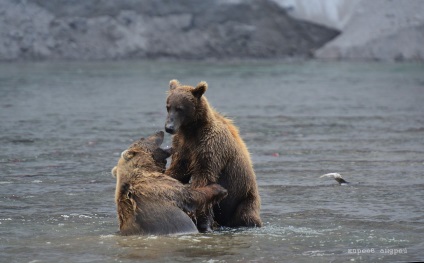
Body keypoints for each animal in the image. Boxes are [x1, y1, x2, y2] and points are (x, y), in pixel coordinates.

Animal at [165, 79, 262, 232]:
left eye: (180, 108)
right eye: (168, 107)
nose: (169, 127)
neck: (192, 130)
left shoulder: (211, 145)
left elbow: (204, 174)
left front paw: (200, 216)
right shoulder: (182, 145)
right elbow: (178, 169)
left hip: (244, 197)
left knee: (247, 216)